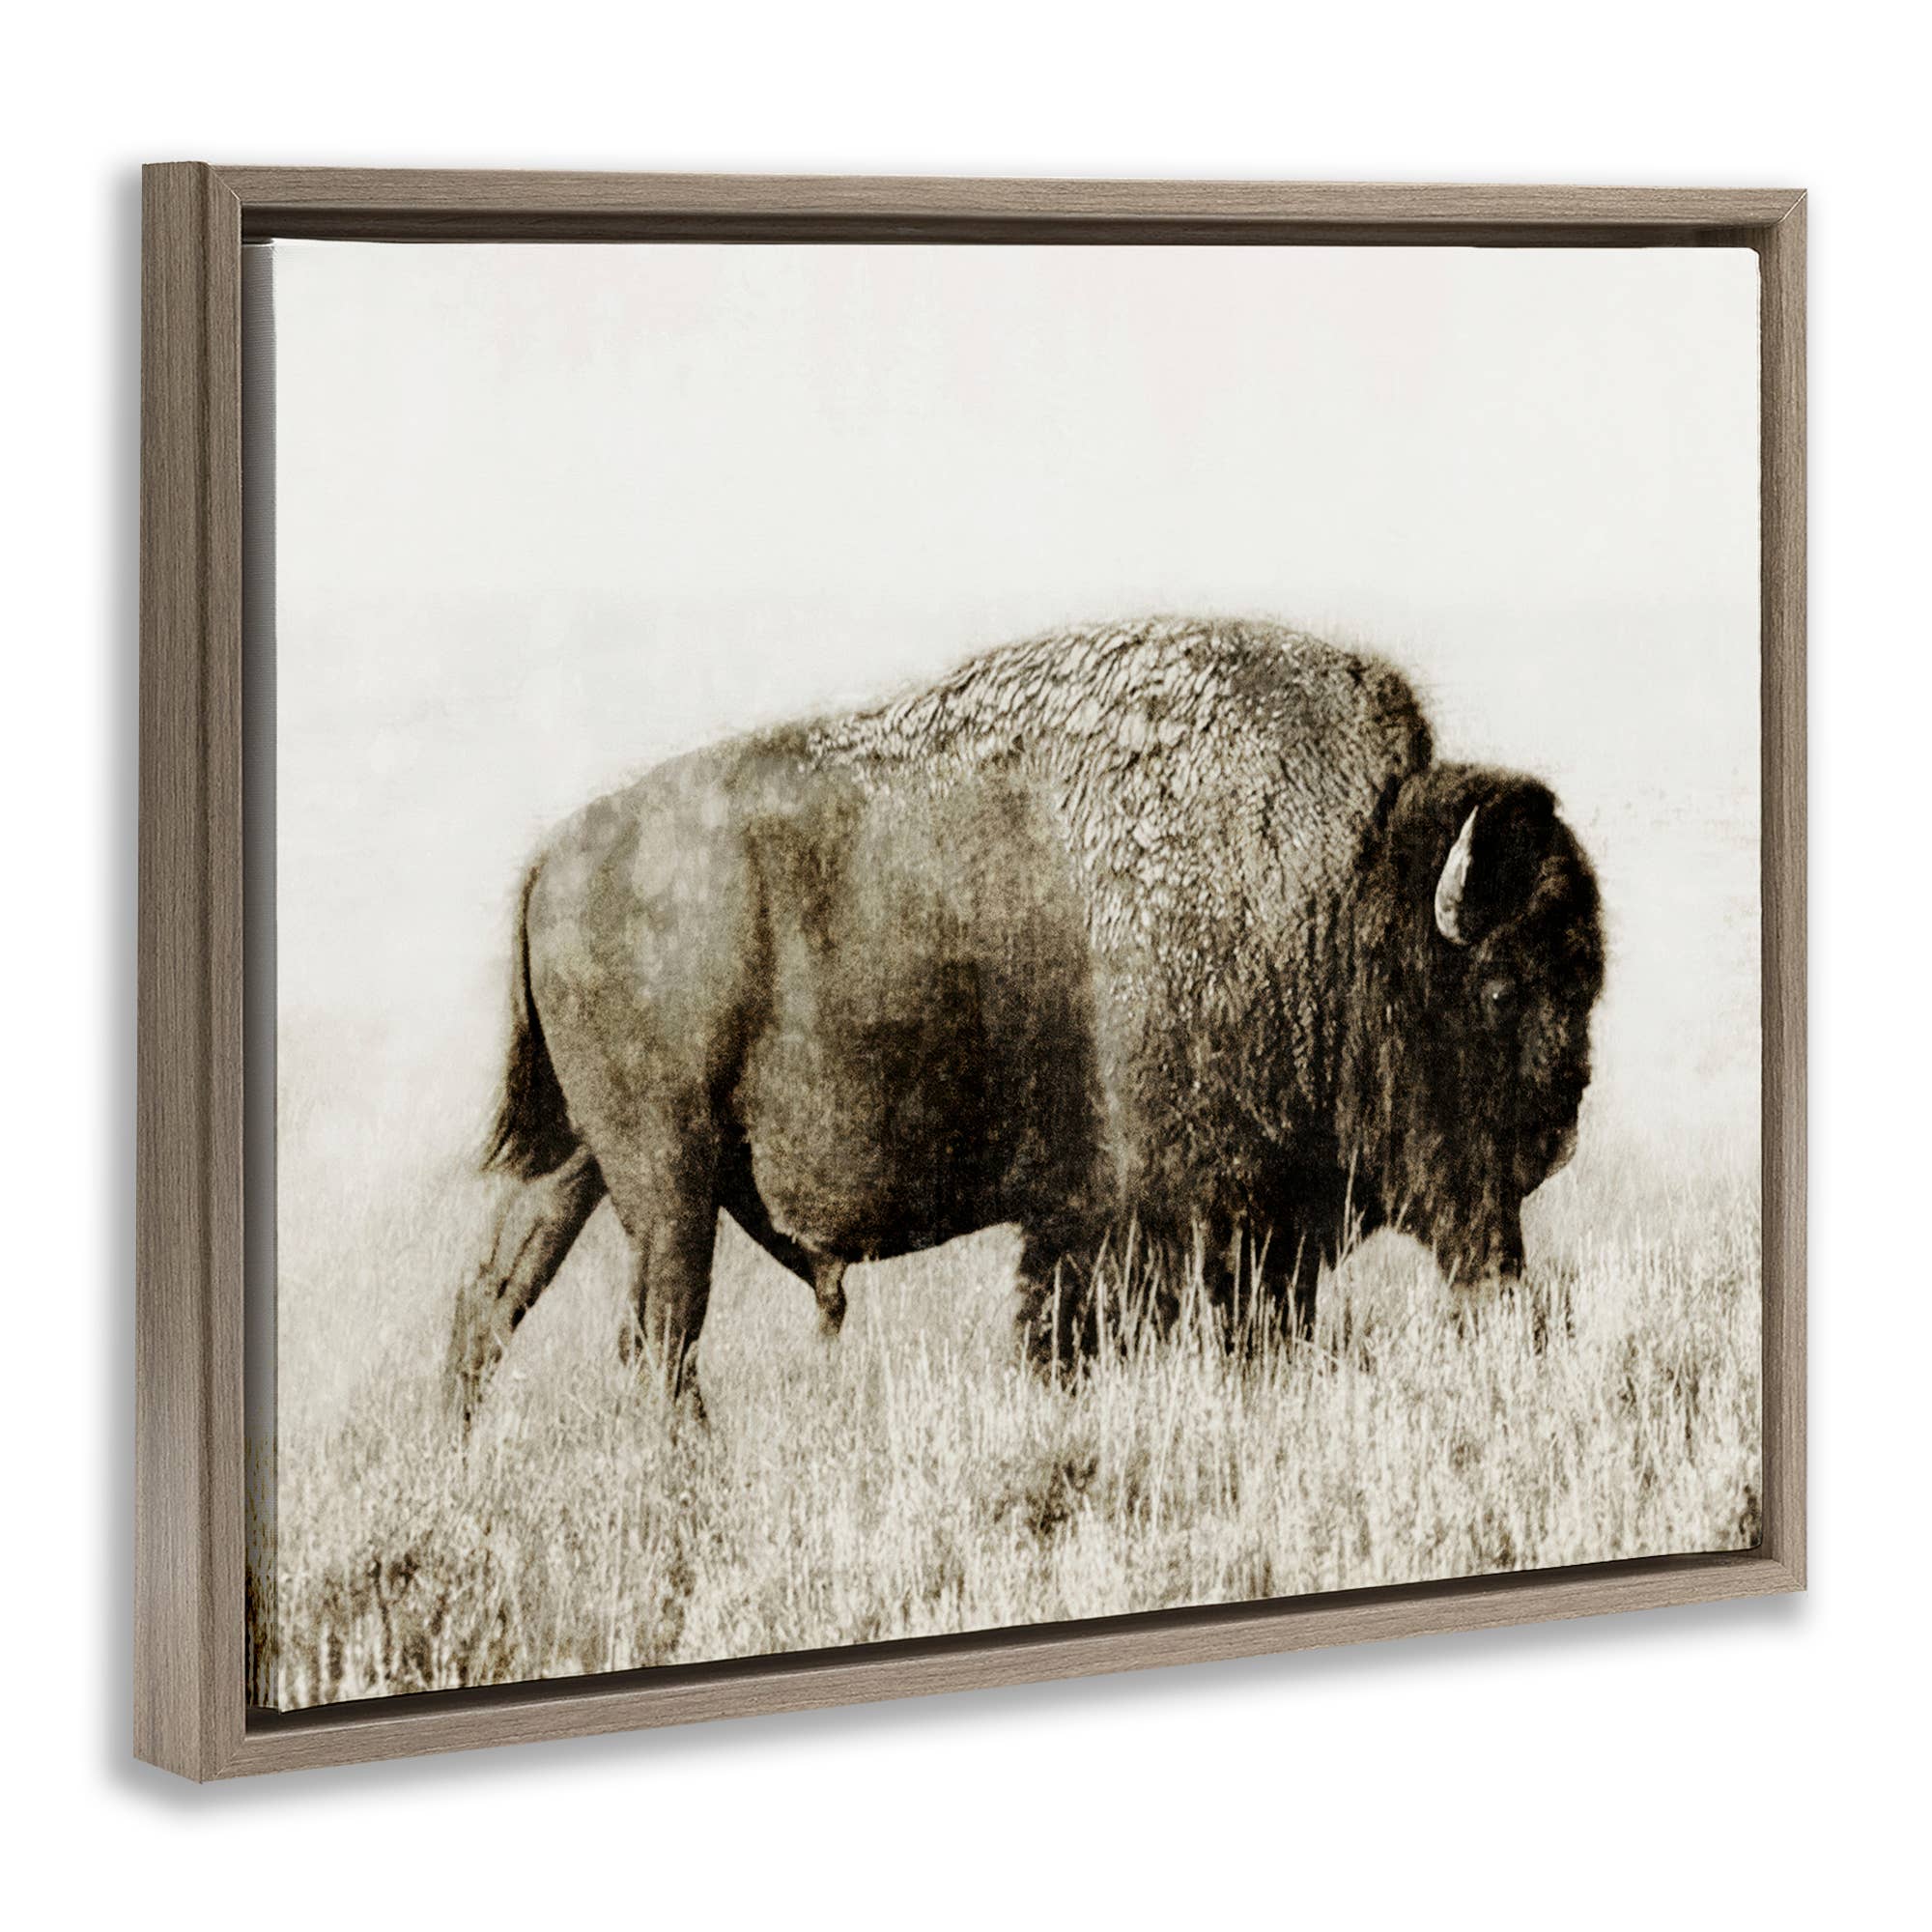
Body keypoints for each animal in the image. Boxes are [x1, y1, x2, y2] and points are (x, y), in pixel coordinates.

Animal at [445, 616, 1604, 1421]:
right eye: (1500, 989)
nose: (1555, 1136)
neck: (1343, 887)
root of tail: (551, 859)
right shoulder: (1183, 1219)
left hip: (580, 1164)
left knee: (492, 1300)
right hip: (665, 1174)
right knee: (657, 1334)